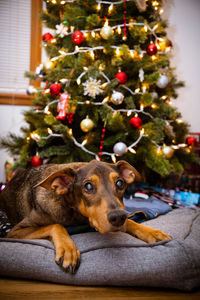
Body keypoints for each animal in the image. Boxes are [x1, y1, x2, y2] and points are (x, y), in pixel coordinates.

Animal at [0, 161, 170, 274]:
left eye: (120, 183)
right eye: (88, 186)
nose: (118, 217)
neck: (73, 214)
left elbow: (130, 220)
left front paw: (153, 232)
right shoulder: (15, 231)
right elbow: (56, 225)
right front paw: (68, 250)